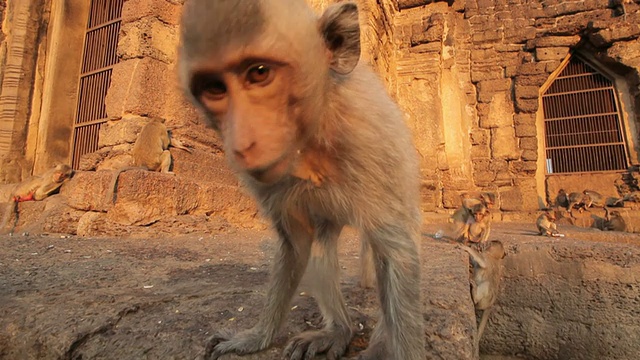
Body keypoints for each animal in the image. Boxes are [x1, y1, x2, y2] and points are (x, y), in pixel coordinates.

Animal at [178, 0, 424, 360]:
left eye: (259, 73)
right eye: (215, 88)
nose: (243, 143)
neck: (309, 144)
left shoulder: (368, 142)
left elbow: (396, 252)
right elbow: (296, 243)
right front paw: (256, 337)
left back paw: (378, 341)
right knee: (321, 244)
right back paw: (340, 331)